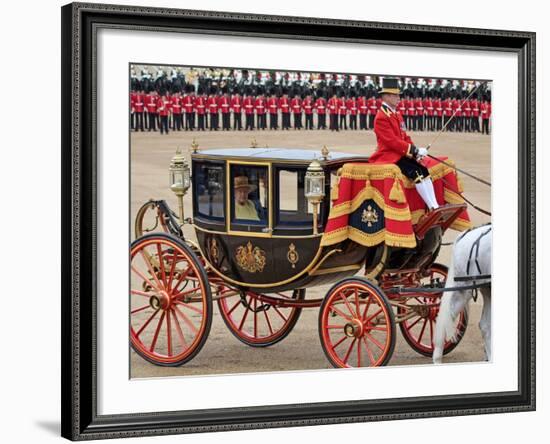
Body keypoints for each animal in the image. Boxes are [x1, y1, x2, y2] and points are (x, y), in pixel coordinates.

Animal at [436, 224, 496, 362]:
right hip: (463, 290)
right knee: (444, 321)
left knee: (485, 326)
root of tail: (465, 235)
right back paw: (437, 359)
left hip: (487, 288)